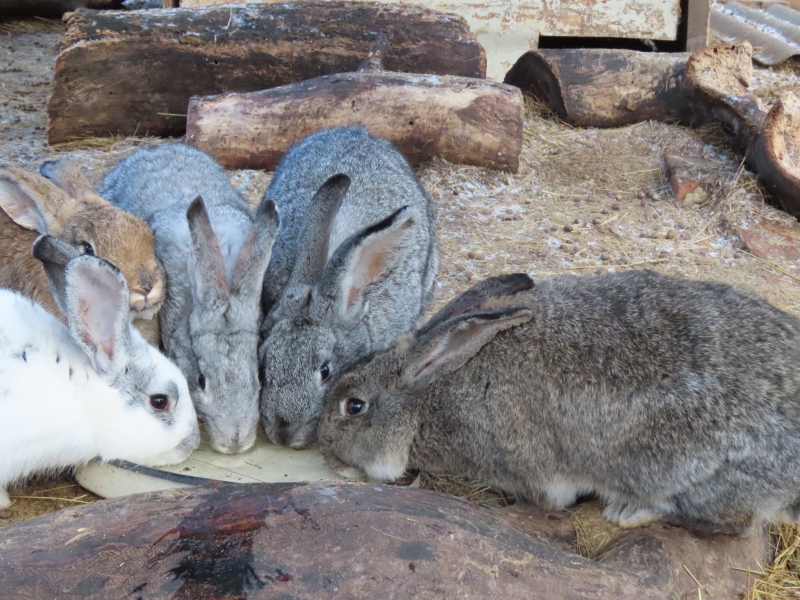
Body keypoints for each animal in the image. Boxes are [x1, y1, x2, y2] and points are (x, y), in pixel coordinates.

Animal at [318, 272, 800, 536]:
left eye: (353, 407)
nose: (325, 451)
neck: (428, 399)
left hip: (684, 470)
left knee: (728, 520)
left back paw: (627, 511)